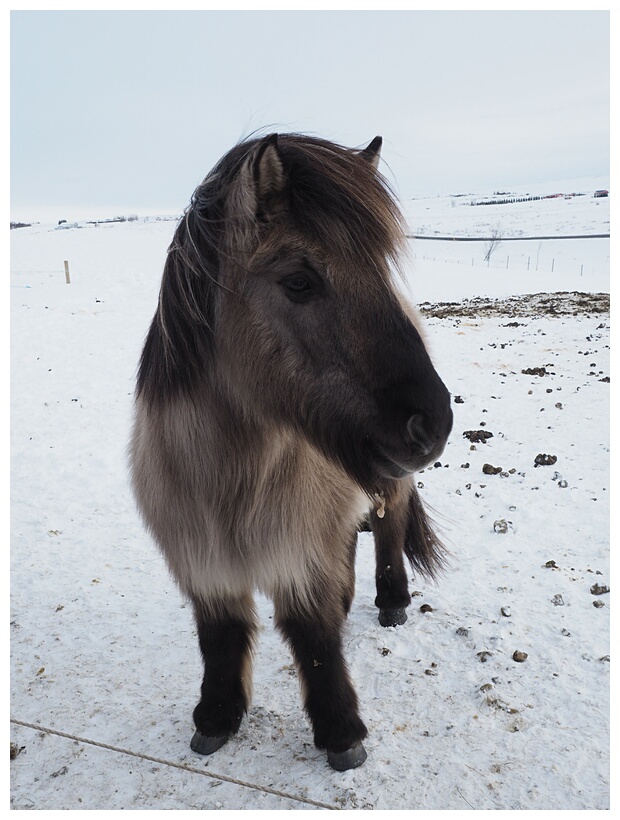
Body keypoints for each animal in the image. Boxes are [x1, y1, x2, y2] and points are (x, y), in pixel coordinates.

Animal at [128, 131, 452, 772]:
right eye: (299, 281)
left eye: (380, 269)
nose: (434, 422)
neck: (230, 481)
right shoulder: (203, 561)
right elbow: (221, 636)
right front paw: (215, 717)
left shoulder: (300, 552)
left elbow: (313, 634)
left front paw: (341, 733)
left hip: (387, 483)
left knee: (389, 528)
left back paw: (392, 601)